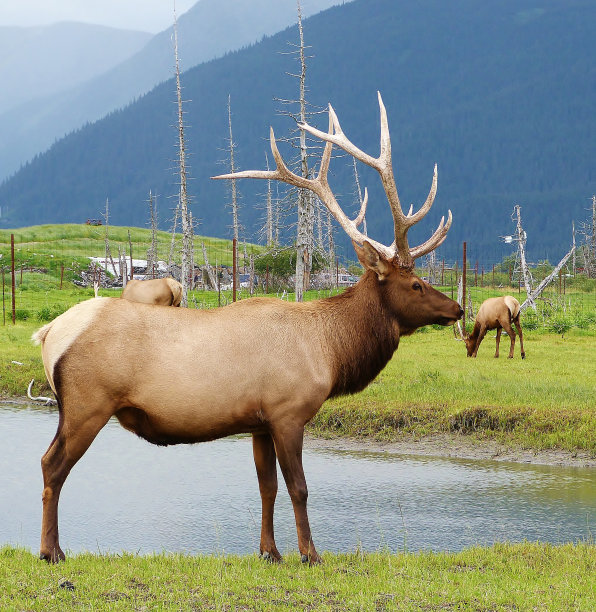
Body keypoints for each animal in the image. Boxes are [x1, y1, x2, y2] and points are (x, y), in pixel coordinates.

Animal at [32, 93, 464, 568]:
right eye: (415, 284)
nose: (458, 308)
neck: (329, 350)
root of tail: (49, 333)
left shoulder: (259, 422)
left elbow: (266, 487)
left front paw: (270, 551)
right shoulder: (288, 412)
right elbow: (299, 488)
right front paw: (310, 554)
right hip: (87, 403)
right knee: (52, 464)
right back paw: (52, 551)